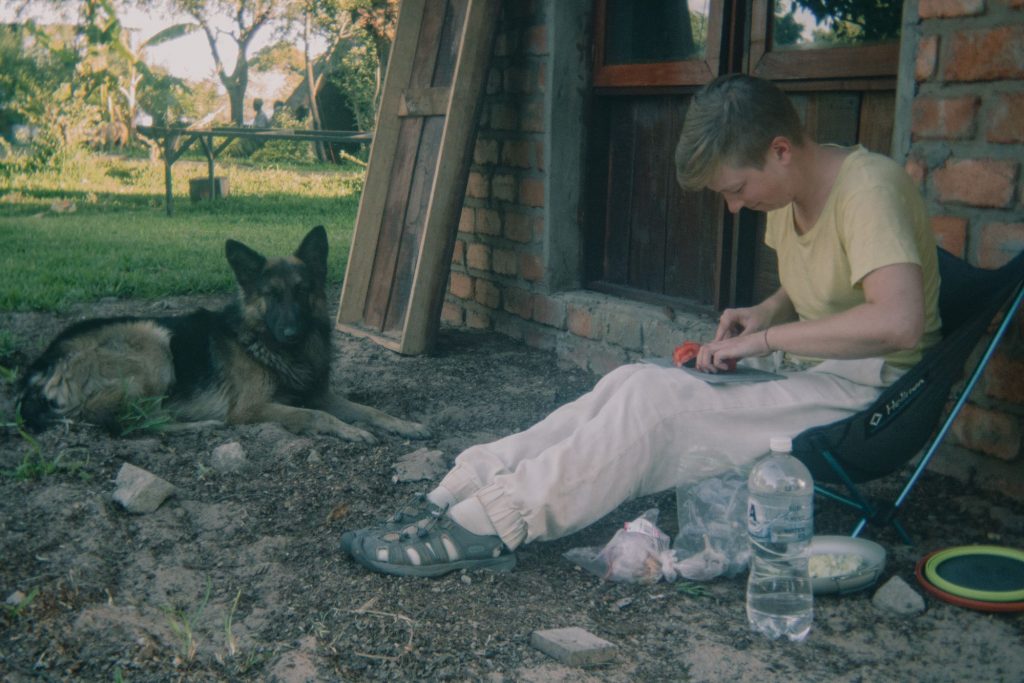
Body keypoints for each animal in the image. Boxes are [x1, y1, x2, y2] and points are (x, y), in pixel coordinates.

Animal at [18, 226, 429, 443]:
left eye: (302, 291)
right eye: (271, 295)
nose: (291, 333)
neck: (269, 346)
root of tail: (43, 362)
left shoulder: (318, 394)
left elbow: (369, 410)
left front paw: (404, 425)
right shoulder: (254, 408)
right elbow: (316, 417)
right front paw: (351, 431)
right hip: (154, 345)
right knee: (128, 420)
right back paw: (203, 424)